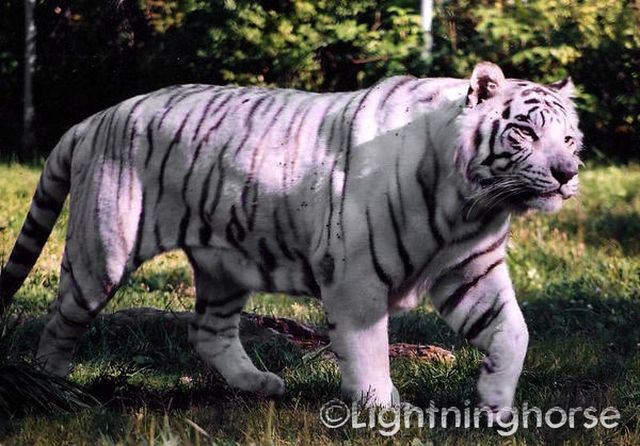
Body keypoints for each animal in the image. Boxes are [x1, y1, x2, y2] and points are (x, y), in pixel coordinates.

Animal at [0, 62, 581, 417]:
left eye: (570, 138)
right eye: (524, 131)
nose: (567, 173)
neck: (470, 205)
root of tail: (95, 118)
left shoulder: (472, 269)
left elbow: (513, 333)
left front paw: (494, 407)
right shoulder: (356, 279)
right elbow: (370, 350)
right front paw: (386, 412)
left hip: (224, 260)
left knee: (209, 332)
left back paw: (260, 384)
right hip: (102, 251)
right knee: (59, 323)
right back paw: (55, 392)